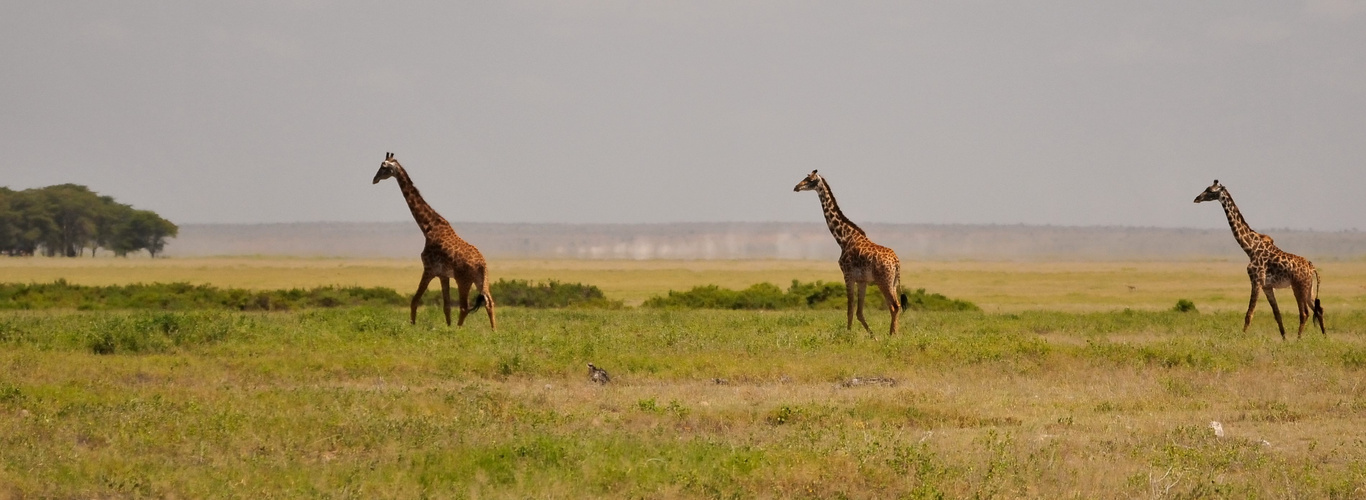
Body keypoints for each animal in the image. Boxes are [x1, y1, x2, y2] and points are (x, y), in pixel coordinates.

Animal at [374, 154, 497, 330]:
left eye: (383, 167)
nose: (374, 179)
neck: (428, 227)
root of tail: (482, 264)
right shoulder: (443, 275)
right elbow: (446, 307)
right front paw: (448, 327)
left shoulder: (429, 269)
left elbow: (414, 301)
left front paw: (413, 326)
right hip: (481, 279)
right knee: (489, 302)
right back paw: (494, 331)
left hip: (463, 280)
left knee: (464, 306)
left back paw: (459, 330)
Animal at [792, 168, 907, 336]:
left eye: (810, 180)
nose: (796, 187)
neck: (843, 238)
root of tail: (896, 262)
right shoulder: (862, 280)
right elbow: (859, 311)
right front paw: (872, 336)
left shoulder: (847, 275)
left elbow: (850, 309)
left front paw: (847, 335)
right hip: (892, 282)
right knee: (896, 305)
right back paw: (894, 334)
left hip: (883, 281)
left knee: (894, 306)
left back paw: (892, 335)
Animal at [1196, 180, 1322, 340]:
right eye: (1206, 188)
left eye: (1210, 190)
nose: (1197, 198)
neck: (1250, 247)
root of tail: (1312, 267)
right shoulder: (1267, 286)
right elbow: (1277, 314)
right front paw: (1284, 338)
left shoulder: (1256, 281)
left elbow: (1249, 314)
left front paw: (1242, 337)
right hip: (1308, 288)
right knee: (1319, 310)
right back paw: (1324, 337)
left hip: (1299, 286)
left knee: (1305, 312)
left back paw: (1299, 339)